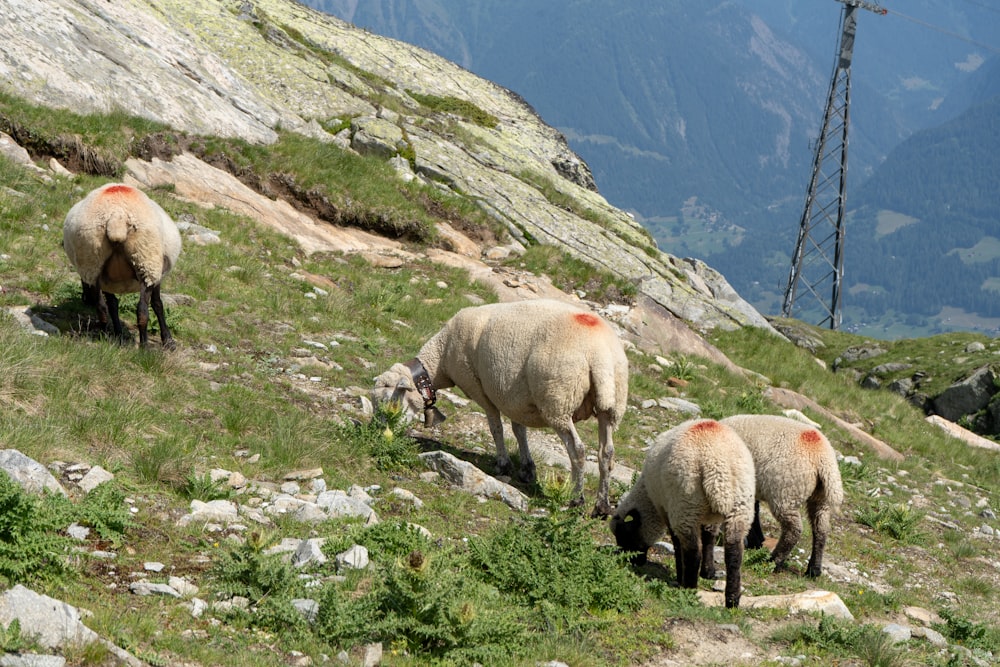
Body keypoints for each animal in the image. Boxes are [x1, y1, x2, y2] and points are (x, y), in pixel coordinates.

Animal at [372, 300, 628, 520]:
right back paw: (602, 506)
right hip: (612, 406)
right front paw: (527, 469)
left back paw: (577, 500)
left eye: (389, 401)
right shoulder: (515, 399)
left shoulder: (479, 389)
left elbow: (496, 428)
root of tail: (599, 354)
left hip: (558, 400)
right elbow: (519, 431)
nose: (378, 433)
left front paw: (503, 463)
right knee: (607, 453)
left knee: (578, 450)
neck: (441, 358)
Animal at [604, 420, 752, 608]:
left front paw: (681, 574)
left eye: (625, 537)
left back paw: (688, 588)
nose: (632, 561)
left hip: (686, 505)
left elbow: (676, 542)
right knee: (734, 554)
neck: (648, 497)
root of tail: (716, 466)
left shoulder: (666, 509)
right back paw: (732, 600)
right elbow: (709, 539)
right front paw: (708, 572)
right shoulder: (710, 518)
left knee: (693, 552)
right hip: (739, 507)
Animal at [720, 414, 844, 576]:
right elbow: (754, 512)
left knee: (793, 530)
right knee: (821, 529)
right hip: (820, 498)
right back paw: (813, 570)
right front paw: (755, 542)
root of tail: (823, 458)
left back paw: (774, 562)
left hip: (785, 493)